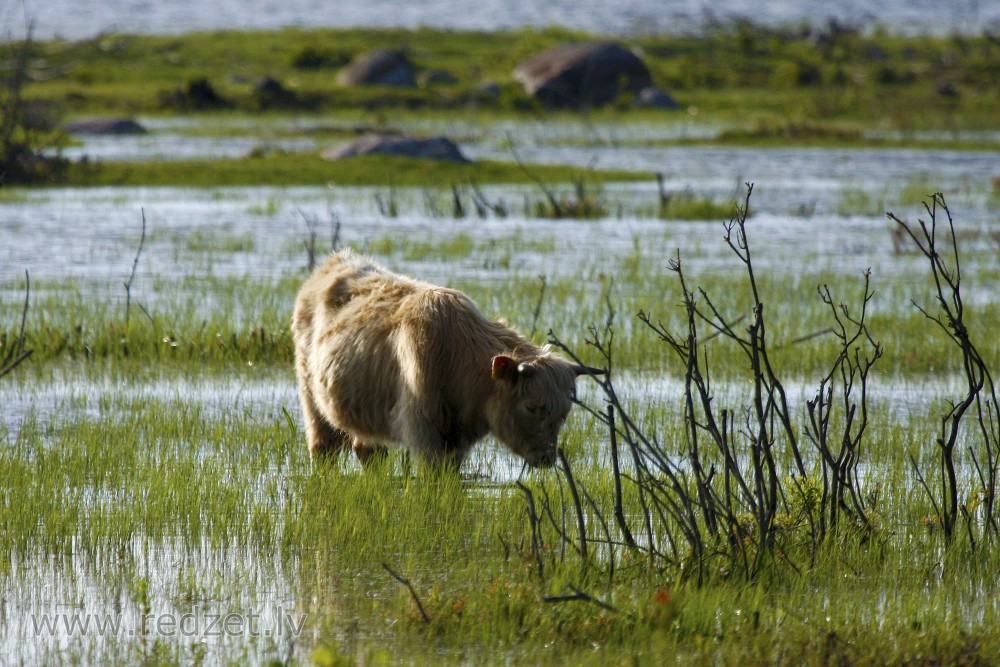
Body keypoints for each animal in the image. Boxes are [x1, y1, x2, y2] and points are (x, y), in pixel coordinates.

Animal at [290, 248, 600, 472]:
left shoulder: (456, 441)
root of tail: (334, 261)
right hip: (311, 397)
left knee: (369, 451)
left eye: (564, 412)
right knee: (323, 448)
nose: (547, 458)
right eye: (531, 406)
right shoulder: (422, 428)